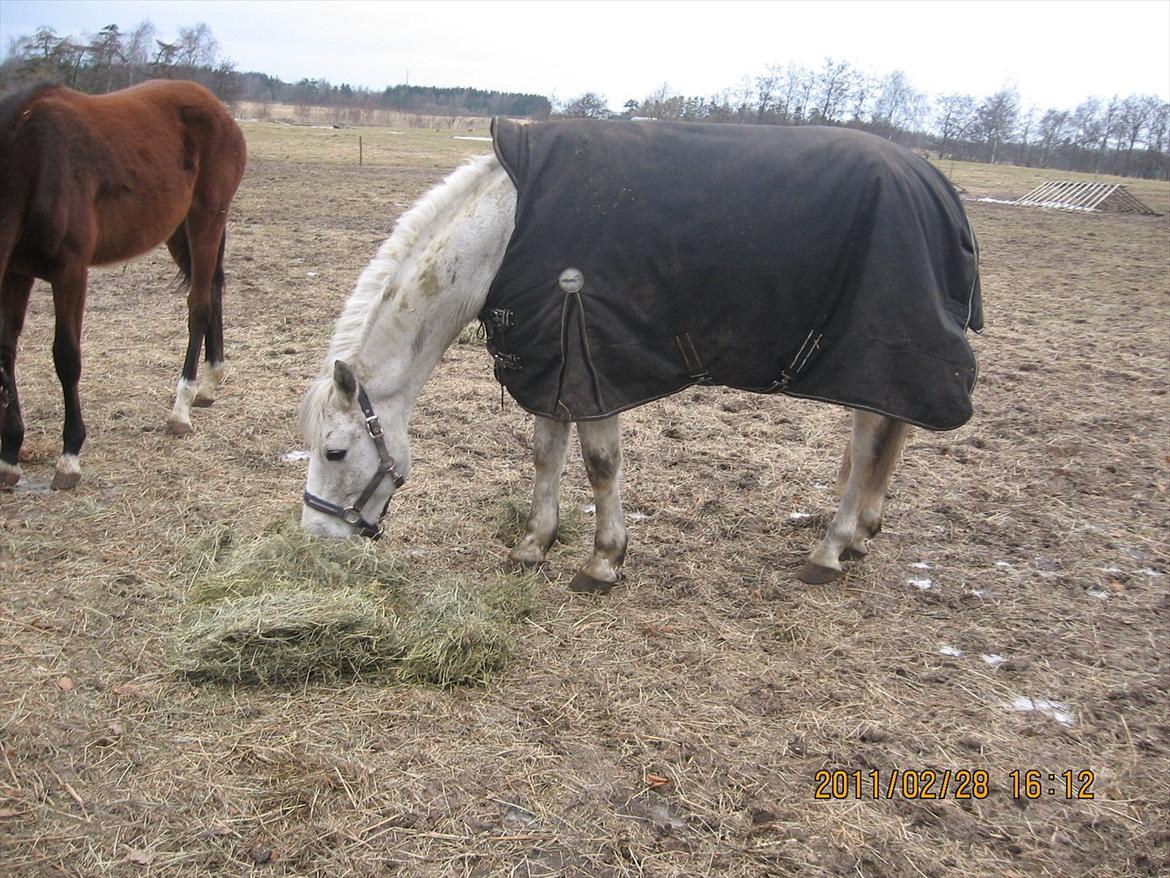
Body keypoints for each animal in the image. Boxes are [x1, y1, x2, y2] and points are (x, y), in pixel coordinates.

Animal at [0, 79, 246, 491]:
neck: (29, 160)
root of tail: (219, 108)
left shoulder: (70, 271)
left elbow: (66, 356)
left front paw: (69, 456)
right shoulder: (16, 273)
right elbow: (6, 352)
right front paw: (9, 457)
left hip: (206, 219)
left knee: (198, 305)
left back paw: (181, 407)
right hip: (178, 230)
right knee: (212, 291)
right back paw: (210, 383)